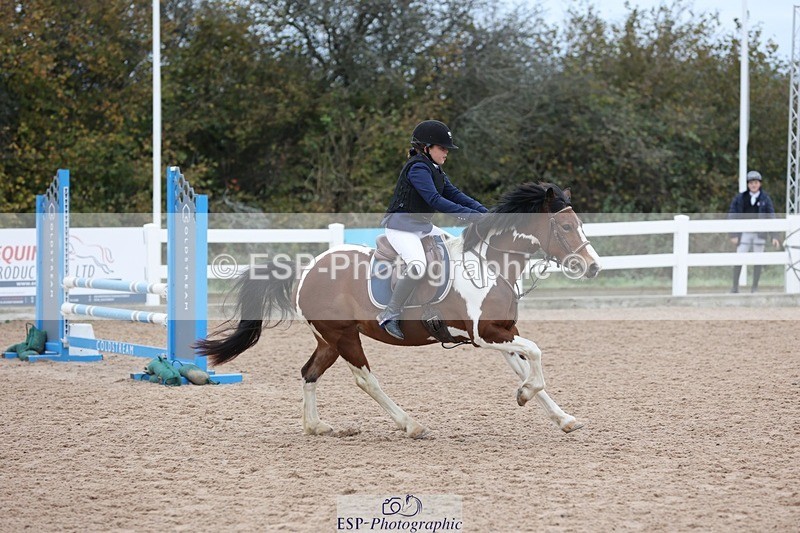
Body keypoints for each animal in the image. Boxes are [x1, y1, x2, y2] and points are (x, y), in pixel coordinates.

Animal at [195, 183, 601, 438]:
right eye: (566, 226)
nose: (594, 267)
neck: (489, 263)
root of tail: (306, 267)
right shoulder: (484, 335)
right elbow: (535, 354)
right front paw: (525, 393)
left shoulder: (503, 332)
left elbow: (526, 363)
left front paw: (562, 417)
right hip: (344, 336)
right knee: (365, 379)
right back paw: (411, 425)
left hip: (328, 338)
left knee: (310, 372)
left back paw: (316, 426)